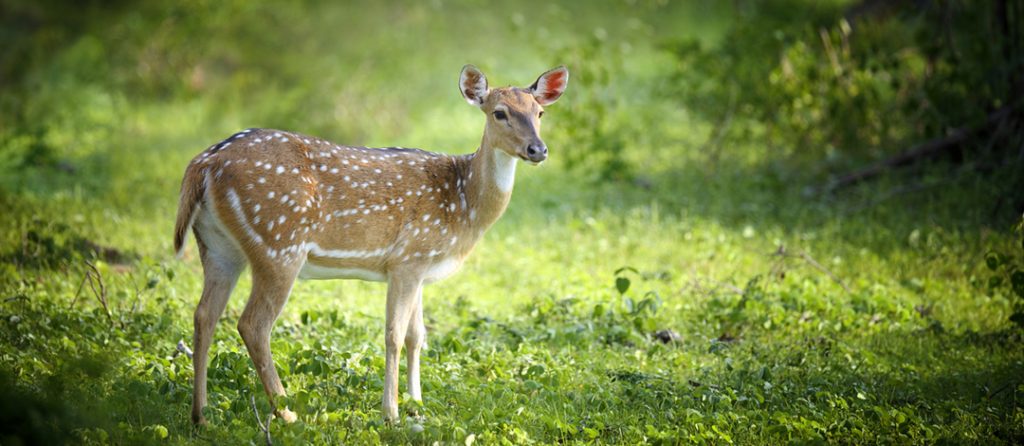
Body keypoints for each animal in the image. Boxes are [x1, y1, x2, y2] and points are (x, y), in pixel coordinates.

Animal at [174, 64, 569, 423]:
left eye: (539, 113)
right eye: (499, 113)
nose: (538, 149)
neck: (464, 203)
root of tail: (204, 163)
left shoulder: (420, 266)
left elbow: (417, 335)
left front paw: (417, 405)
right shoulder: (408, 258)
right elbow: (394, 335)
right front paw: (391, 413)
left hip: (218, 247)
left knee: (204, 315)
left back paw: (201, 415)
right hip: (279, 243)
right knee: (252, 325)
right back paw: (287, 415)